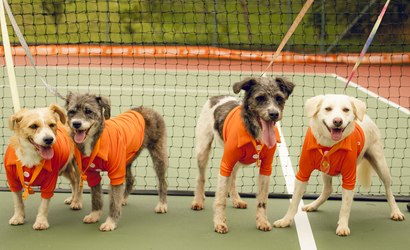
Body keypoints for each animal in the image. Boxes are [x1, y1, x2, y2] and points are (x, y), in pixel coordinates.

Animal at [192, 77, 294, 233]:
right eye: (260, 98)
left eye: (279, 98)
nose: (274, 114)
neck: (254, 133)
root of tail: (217, 98)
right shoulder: (226, 163)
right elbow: (220, 199)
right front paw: (220, 222)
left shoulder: (266, 168)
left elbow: (262, 201)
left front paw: (262, 221)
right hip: (203, 150)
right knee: (201, 177)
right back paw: (198, 200)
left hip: (237, 161)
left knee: (233, 179)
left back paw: (236, 200)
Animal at [274, 94, 406, 236]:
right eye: (327, 108)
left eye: (346, 110)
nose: (338, 121)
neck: (329, 143)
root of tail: (366, 117)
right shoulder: (303, 174)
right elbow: (294, 203)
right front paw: (286, 220)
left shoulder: (349, 177)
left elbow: (345, 207)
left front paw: (342, 226)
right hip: (326, 170)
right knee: (328, 190)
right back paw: (313, 205)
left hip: (381, 165)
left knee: (388, 191)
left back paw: (395, 211)